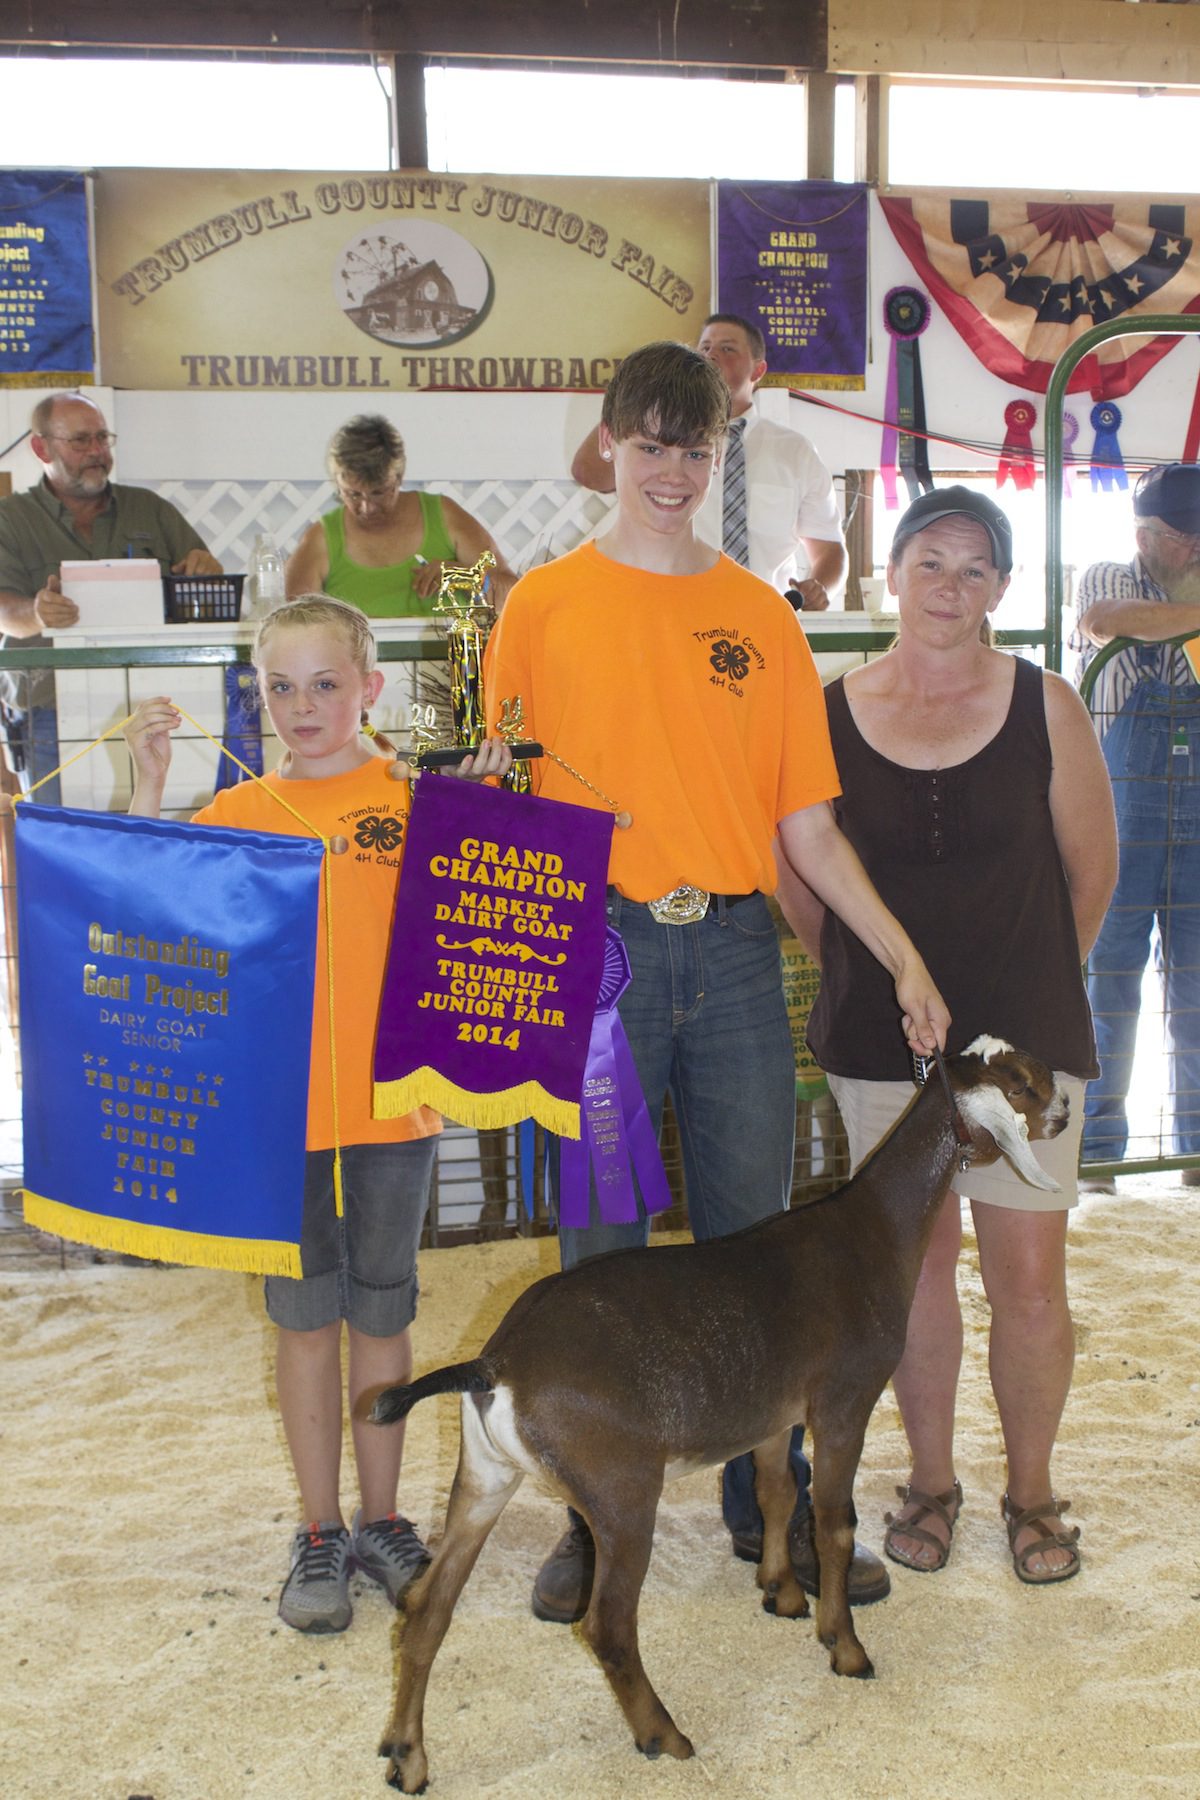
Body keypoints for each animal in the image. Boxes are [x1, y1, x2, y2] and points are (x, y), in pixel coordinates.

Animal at [369, 1037, 1067, 1792]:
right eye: (1023, 1086)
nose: (1065, 1108)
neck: (875, 1229)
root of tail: (498, 1364)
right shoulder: (844, 1402)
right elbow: (835, 1525)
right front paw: (846, 1648)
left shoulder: (773, 1417)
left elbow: (775, 1491)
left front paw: (782, 1594)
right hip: (620, 1492)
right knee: (607, 1624)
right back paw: (664, 1735)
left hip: (484, 1477)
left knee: (427, 1607)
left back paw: (407, 1755)